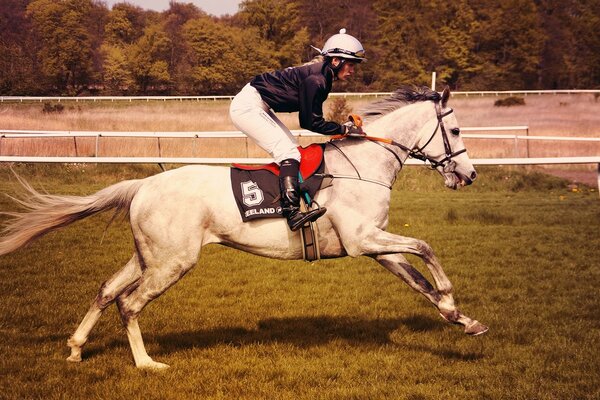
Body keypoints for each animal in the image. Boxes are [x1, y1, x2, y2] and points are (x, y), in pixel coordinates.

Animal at [0, 86, 488, 370]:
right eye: (456, 131)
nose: (468, 176)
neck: (364, 165)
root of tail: (144, 184)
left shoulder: (375, 246)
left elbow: (417, 277)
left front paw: (461, 318)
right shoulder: (363, 240)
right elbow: (426, 247)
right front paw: (451, 298)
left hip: (150, 256)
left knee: (106, 291)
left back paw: (76, 347)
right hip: (174, 261)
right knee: (129, 303)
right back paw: (147, 364)